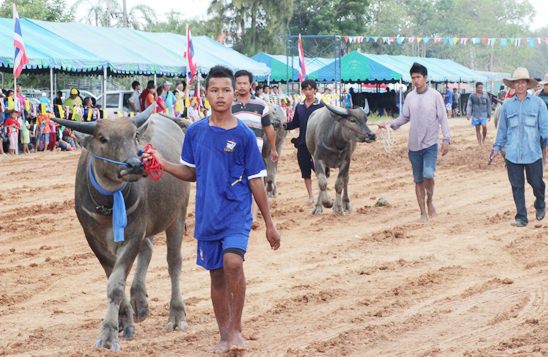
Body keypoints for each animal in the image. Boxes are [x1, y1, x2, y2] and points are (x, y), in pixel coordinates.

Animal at [50, 104, 191, 352]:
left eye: (134, 136)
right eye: (103, 138)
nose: (134, 165)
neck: (108, 203)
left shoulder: (133, 235)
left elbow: (116, 284)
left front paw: (108, 335)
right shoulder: (94, 239)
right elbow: (114, 279)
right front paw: (125, 322)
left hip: (177, 214)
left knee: (174, 262)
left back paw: (176, 316)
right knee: (148, 250)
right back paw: (139, 301)